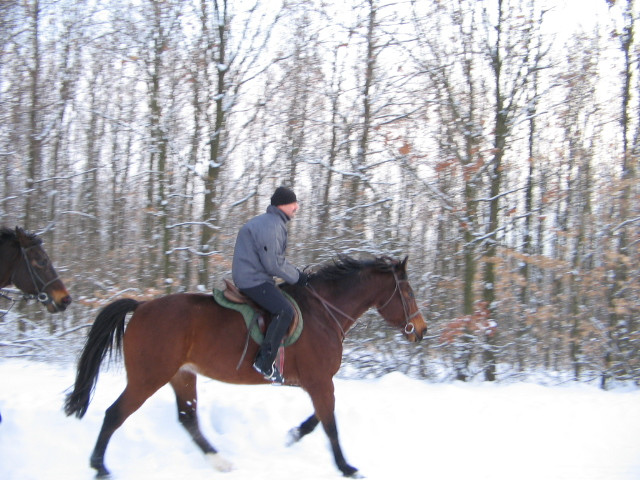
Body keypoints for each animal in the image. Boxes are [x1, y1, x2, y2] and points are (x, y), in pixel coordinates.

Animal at [65, 255, 428, 476]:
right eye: (408, 293)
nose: (422, 331)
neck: (324, 314)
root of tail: (140, 307)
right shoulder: (320, 381)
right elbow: (330, 424)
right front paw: (346, 467)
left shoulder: (315, 382)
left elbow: (317, 419)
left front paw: (293, 435)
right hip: (148, 378)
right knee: (115, 414)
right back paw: (99, 466)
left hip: (182, 376)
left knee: (188, 419)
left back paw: (220, 461)